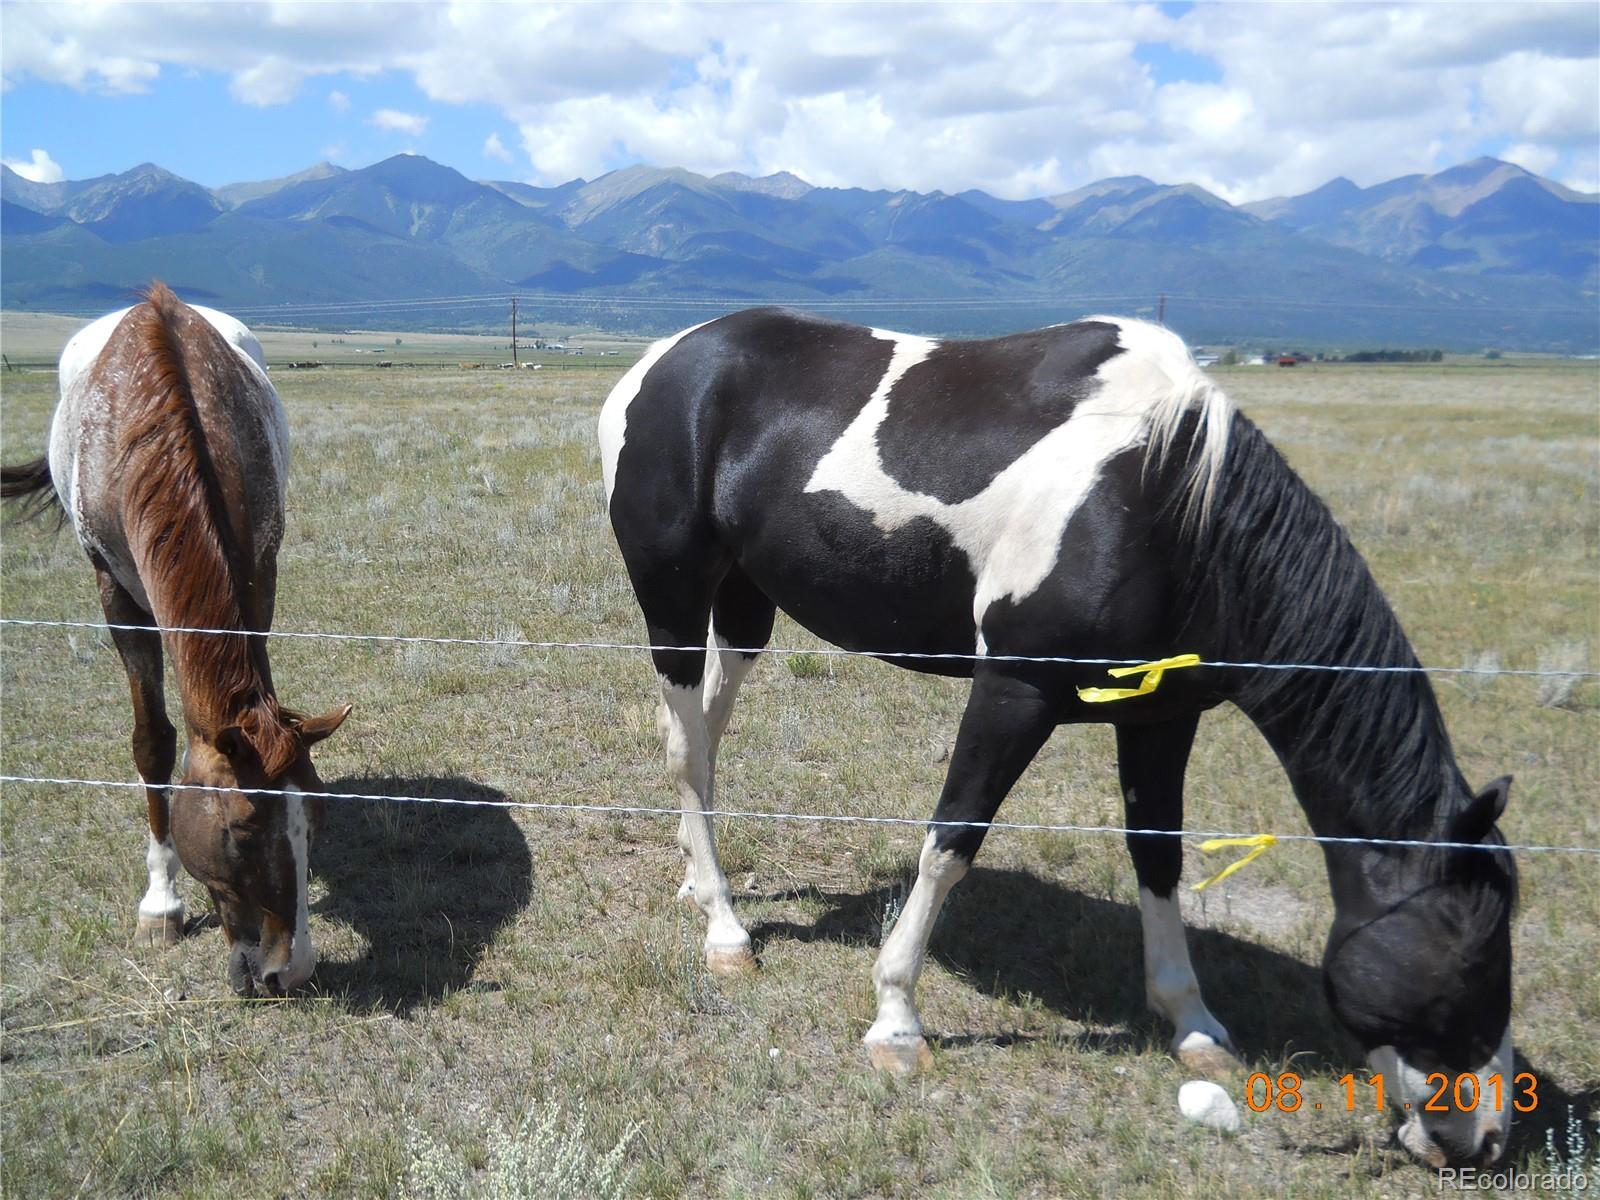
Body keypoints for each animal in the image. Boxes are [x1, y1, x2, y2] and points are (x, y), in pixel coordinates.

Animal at [598, 307, 1510, 1164]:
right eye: (1473, 958)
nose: (1488, 1138)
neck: (1165, 503)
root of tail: (665, 360)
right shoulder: (1014, 693)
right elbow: (952, 841)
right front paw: (897, 1019)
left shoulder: (1161, 718)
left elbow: (1159, 855)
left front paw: (1192, 1021)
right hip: (674, 599)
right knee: (687, 749)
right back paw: (724, 931)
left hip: (745, 604)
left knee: (708, 735)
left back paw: (696, 878)